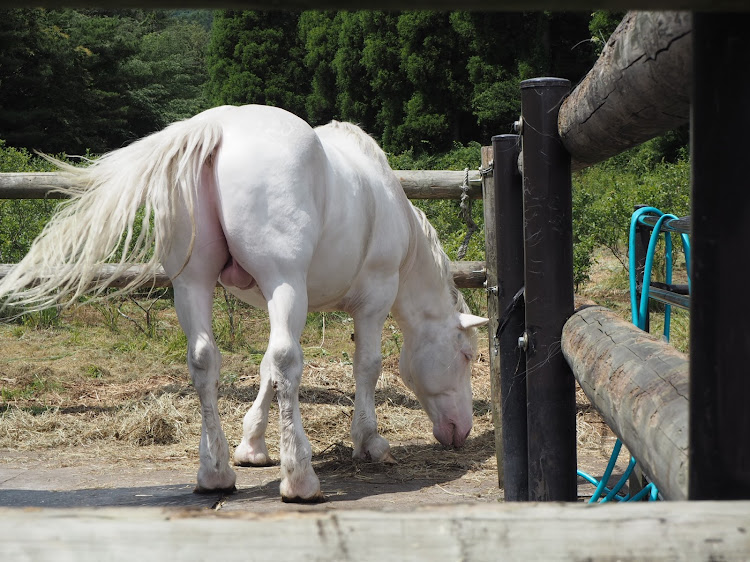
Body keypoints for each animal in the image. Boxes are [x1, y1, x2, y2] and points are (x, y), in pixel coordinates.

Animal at [0, 104, 488, 498]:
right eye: (466, 355)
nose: (461, 430)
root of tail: (216, 128)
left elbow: (265, 368)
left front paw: (251, 446)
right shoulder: (371, 301)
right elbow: (361, 367)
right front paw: (369, 442)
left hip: (193, 283)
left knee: (204, 360)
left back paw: (214, 473)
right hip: (283, 281)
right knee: (287, 361)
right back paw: (300, 480)